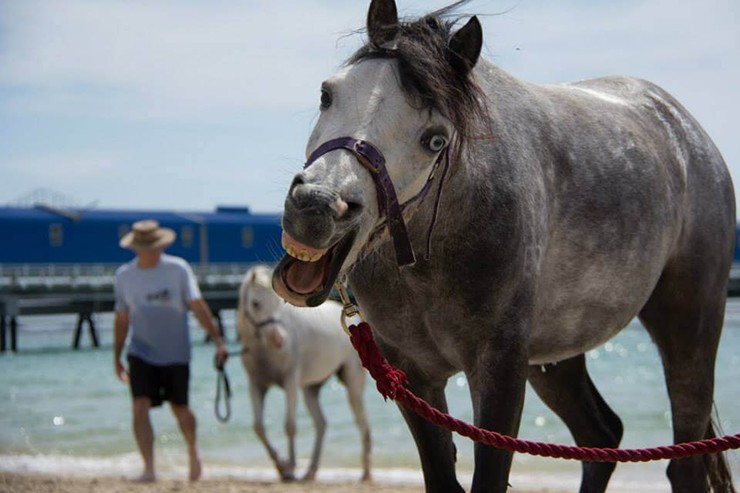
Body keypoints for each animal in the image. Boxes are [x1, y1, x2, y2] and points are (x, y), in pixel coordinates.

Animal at [236, 266, 370, 480]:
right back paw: (311, 471)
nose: (279, 339)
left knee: (361, 423)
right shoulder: (256, 385)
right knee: (321, 424)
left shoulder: (290, 382)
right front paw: (281, 466)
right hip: (311, 389)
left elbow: (290, 426)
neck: (264, 351)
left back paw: (366, 473)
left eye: (277, 303)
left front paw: (290, 468)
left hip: (352, 385)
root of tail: (355, 321)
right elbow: (258, 427)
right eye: (256, 303)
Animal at [268, 1, 732, 490]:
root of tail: (685, 131)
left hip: (689, 328)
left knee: (684, 461)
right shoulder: (411, 373)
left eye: (435, 139)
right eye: (328, 94)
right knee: (601, 436)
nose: (317, 206)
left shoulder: (499, 370)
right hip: (554, 356)